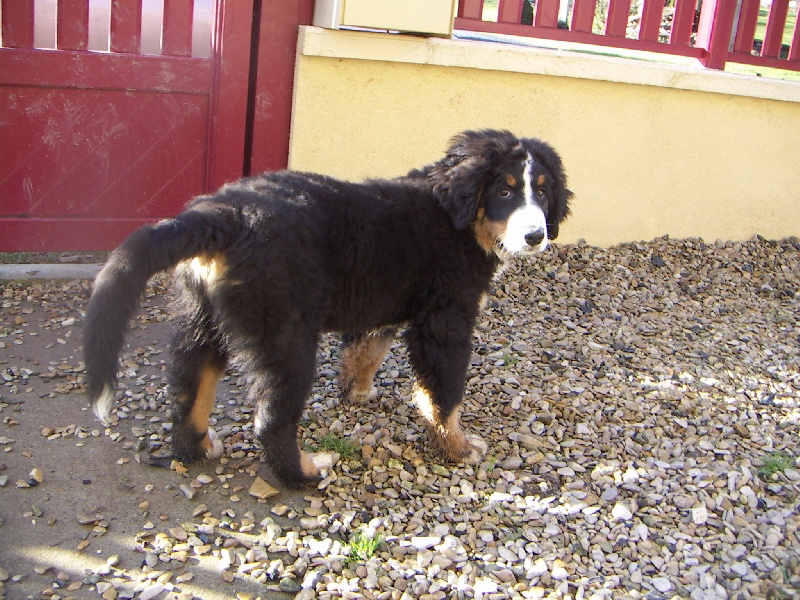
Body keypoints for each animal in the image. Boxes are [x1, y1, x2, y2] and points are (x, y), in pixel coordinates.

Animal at [84, 129, 572, 488]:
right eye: (505, 191)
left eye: (543, 192)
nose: (536, 236)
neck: (456, 217)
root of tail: (226, 213)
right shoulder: (445, 318)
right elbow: (443, 393)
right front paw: (458, 446)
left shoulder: (385, 304)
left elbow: (367, 350)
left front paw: (356, 389)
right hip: (285, 335)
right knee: (272, 421)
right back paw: (304, 473)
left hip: (202, 316)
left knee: (188, 390)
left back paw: (198, 448)